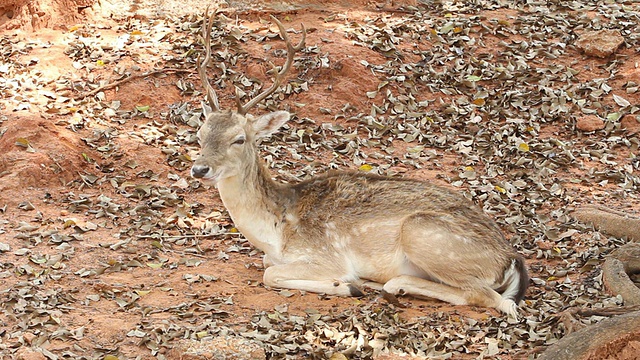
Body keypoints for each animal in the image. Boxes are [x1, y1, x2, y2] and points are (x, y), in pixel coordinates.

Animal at [191, 9, 528, 318]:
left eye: (239, 139)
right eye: (201, 133)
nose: (199, 169)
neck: (275, 231)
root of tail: (509, 259)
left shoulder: (324, 255)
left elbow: (270, 274)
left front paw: (345, 284)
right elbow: (266, 266)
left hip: (424, 234)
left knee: (492, 298)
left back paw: (386, 284)